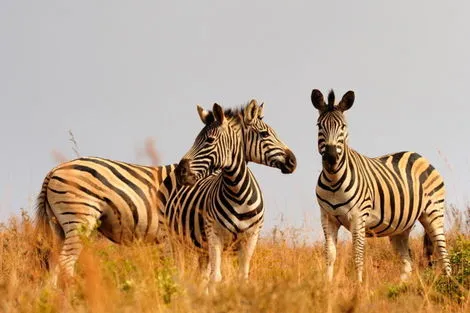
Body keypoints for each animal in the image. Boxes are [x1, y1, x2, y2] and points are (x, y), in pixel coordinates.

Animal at [159, 100, 298, 282]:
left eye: (209, 140)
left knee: (201, 276)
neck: (237, 192)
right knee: (179, 272)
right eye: (264, 134)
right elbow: (216, 277)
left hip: (201, 247)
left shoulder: (250, 238)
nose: (293, 161)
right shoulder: (214, 235)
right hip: (172, 238)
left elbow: (242, 277)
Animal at [310, 88, 450, 282]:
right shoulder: (327, 218)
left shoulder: (358, 217)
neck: (333, 181)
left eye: (343, 126)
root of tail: (419, 155)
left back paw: (449, 282)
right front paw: (327, 284)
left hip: (434, 213)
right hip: (400, 228)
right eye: (319, 126)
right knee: (408, 262)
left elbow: (357, 254)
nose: (330, 158)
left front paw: (359, 285)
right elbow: (330, 254)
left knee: (443, 253)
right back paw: (401, 287)